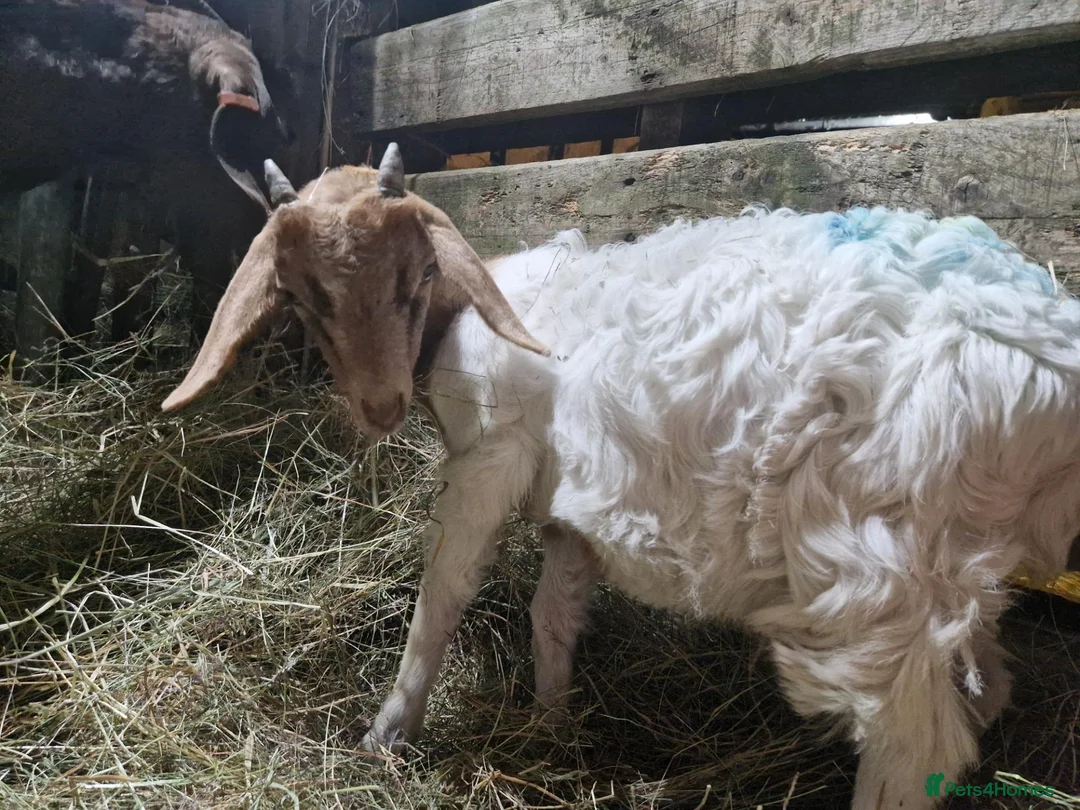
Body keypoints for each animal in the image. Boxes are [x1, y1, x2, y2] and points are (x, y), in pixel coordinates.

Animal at [161, 145, 1080, 810]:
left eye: (414, 275)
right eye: (303, 298)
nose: (380, 405)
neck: (481, 309)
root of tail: (1045, 341)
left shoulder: (493, 455)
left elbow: (443, 592)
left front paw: (391, 730)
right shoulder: (576, 499)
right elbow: (553, 610)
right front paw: (550, 721)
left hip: (880, 566)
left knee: (912, 744)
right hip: (951, 560)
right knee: (982, 686)